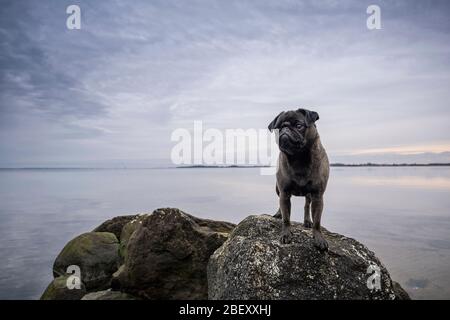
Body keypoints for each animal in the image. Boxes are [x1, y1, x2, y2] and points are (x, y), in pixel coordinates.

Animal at [268, 109, 328, 251]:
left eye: (299, 125)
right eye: (278, 128)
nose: (285, 128)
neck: (298, 157)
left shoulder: (318, 196)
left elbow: (317, 221)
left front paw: (318, 238)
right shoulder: (284, 193)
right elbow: (286, 219)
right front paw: (286, 234)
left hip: (310, 195)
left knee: (307, 205)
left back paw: (307, 221)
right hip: (278, 190)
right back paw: (278, 214)